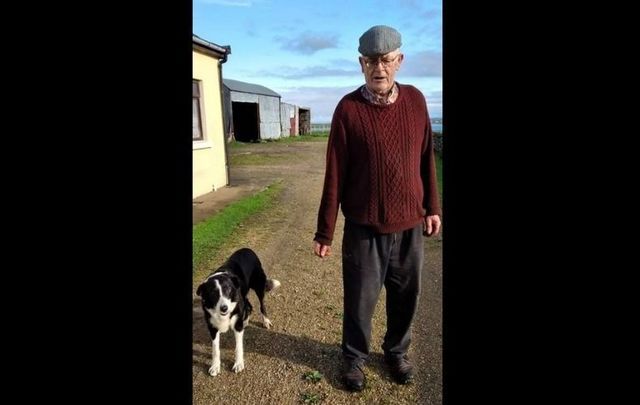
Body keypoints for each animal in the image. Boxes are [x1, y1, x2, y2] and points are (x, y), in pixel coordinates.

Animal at [195, 246, 280, 376]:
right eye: (213, 293)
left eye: (228, 290)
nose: (224, 308)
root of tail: (247, 249)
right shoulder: (212, 327)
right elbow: (215, 349)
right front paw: (215, 366)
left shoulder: (237, 325)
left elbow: (238, 347)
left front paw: (239, 364)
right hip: (244, 295)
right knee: (248, 306)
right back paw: (246, 321)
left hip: (259, 286)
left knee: (261, 305)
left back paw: (265, 320)